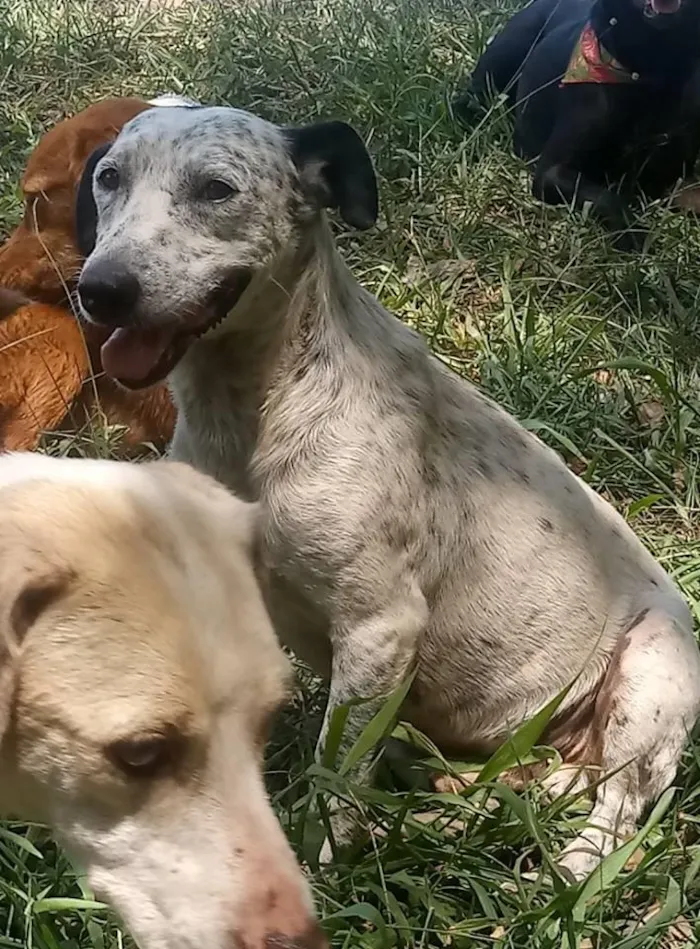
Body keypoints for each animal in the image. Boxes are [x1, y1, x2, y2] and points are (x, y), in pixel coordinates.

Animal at [74, 100, 696, 876]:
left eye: (216, 189)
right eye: (109, 178)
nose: (100, 288)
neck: (260, 414)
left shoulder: (380, 628)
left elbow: (335, 768)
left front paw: (321, 863)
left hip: (654, 670)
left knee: (616, 811)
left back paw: (566, 869)